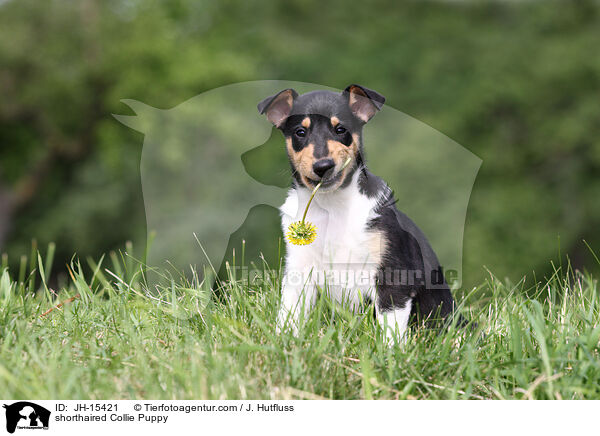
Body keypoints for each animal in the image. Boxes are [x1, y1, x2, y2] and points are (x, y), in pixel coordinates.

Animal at [258, 85, 464, 342]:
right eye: (300, 132)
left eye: (341, 130)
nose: (323, 167)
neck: (333, 206)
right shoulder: (299, 270)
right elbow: (289, 315)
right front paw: (282, 343)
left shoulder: (393, 274)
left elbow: (391, 329)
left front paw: (390, 352)